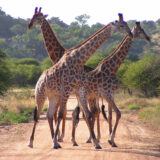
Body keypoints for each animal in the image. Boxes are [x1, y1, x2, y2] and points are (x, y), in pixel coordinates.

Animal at [27, 11, 132, 150]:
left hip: (57, 96)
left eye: (126, 24)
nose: (130, 33)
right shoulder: (67, 90)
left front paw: (90, 142)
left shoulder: (76, 91)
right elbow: (63, 114)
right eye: (121, 25)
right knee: (38, 115)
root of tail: (39, 79)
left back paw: (108, 140)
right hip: (41, 94)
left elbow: (79, 114)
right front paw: (59, 140)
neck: (77, 59)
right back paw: (31, 142)